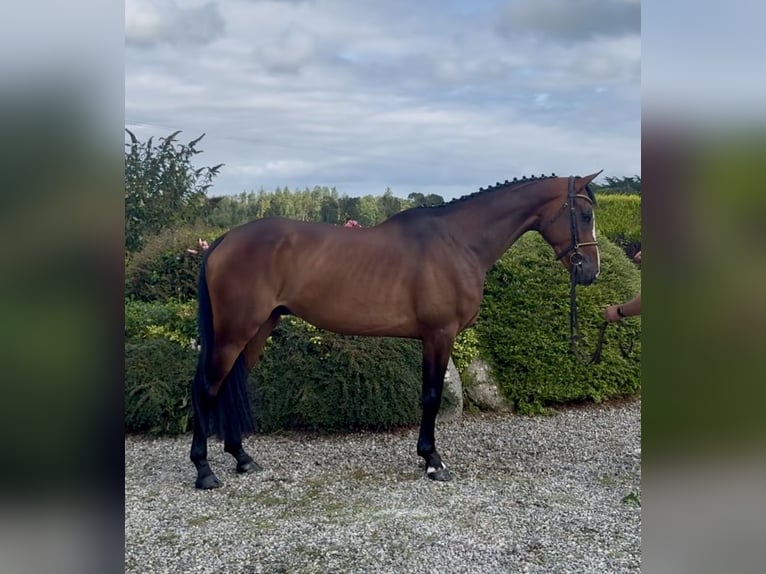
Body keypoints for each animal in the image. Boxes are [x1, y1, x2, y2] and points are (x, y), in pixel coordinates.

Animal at [189, 172, 602, 489]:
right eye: (583, 214)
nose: (591, 271)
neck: (459, 241)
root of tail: (224, 240)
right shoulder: (439, 334)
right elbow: (432, 397)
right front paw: (433, 461)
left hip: (257, 329)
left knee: (230, 385)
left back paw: (242, 457)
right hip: (235, 331)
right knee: (206, 388)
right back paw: (205, 471)